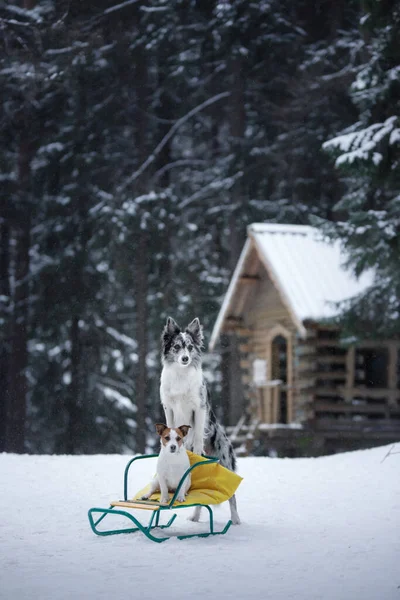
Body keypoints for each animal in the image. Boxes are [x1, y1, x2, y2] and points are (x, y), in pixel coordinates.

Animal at [159, 316, 241, 524]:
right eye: (177, 347)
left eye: (190, 347)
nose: (185, 358)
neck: (181, 374)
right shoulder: (168, 406)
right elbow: (170, 425)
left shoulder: (199, 406)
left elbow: (196, 433)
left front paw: (197, 449)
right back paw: (195, 517)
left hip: (225, 461)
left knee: (232, 496)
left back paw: (236, 520)